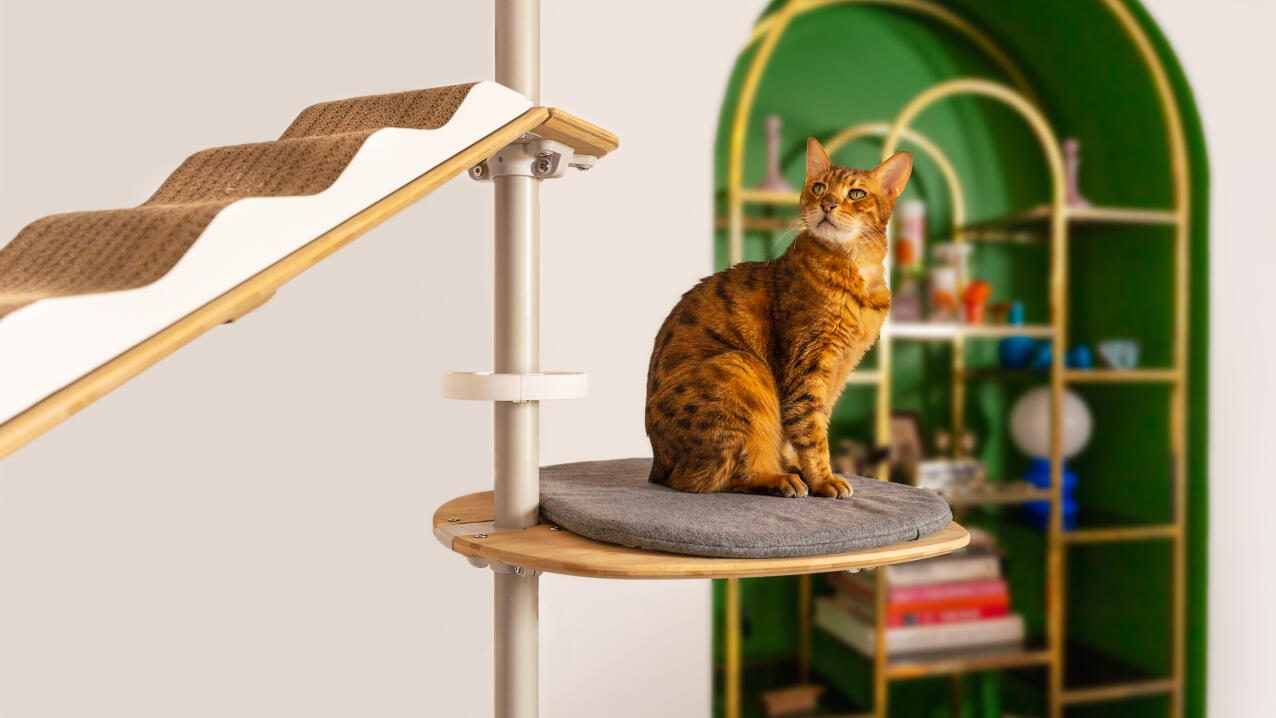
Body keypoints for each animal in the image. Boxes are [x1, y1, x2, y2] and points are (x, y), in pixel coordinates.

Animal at [648, 140, 908, 499]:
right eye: (819, 187)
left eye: (856, 194)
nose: (827, 204)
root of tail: (657, 468)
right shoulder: (809, 362)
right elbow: (811, 431)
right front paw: (824, 480)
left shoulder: (839, 372)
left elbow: (811, 425)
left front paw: (807, 470)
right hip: (741, 367)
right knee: (715, 478)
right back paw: (779, 479)